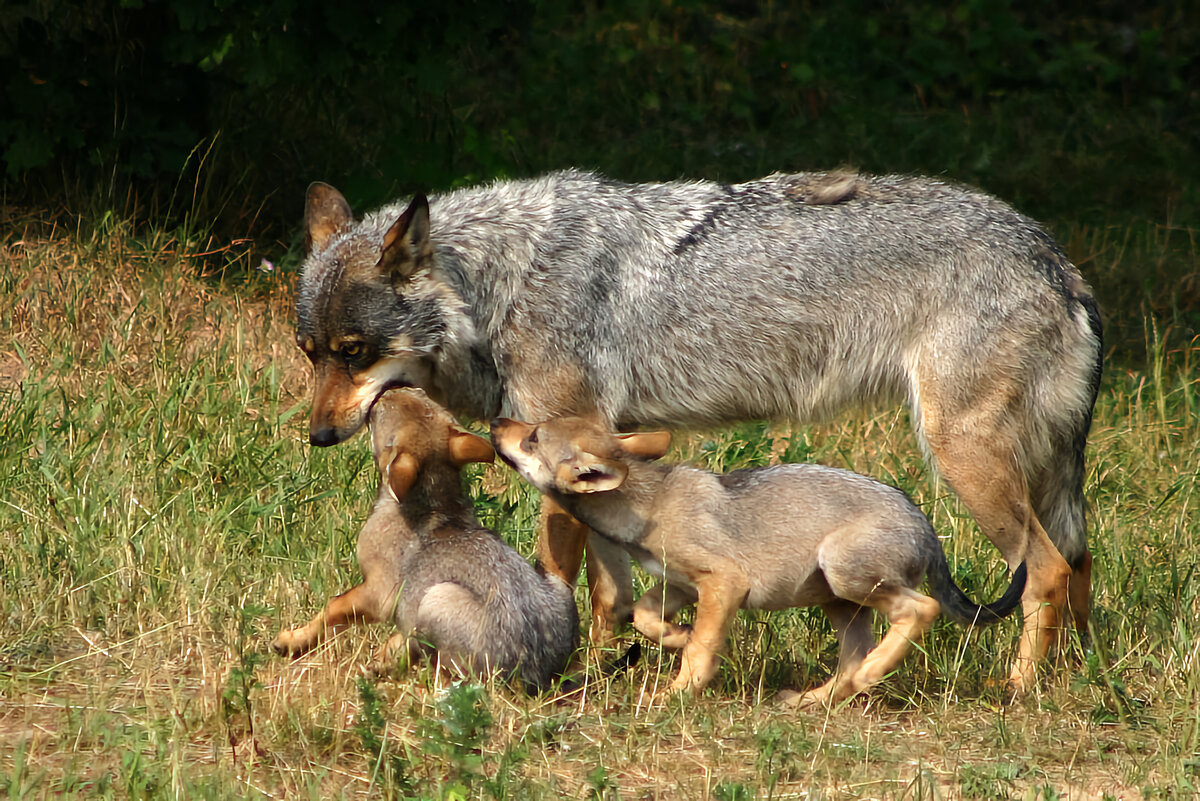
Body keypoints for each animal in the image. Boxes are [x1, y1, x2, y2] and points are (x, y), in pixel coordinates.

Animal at [271, 386, 576, 690]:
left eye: (378, 412)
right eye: (419, 393)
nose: (388, 388)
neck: (434, 505)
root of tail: (536, 677)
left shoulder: (379, 593)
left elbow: (333, 608)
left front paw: (291, 641)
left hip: (438, 597)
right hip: (557, 584)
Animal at [487, 417, 1022, 705]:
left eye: (533, 437)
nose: (495, 422)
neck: (648, 504)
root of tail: (925, 526)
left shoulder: (725, 582)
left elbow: (702, 648)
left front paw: (679, 692)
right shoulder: (680, 584)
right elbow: (645, 617)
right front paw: (677, 637)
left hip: (844, 575)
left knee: (920, 611)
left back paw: (873, 673)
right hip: (838, 603)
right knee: (851, 660)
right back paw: (813, 700)